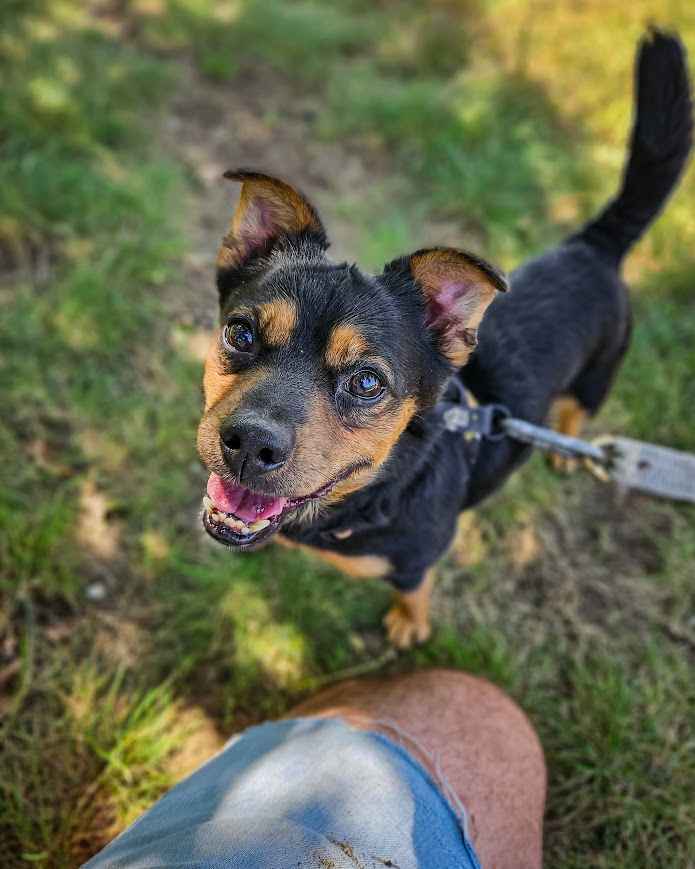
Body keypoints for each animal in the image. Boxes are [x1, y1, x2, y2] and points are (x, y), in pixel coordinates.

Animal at [196, 30, 692, 644]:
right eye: (240, 333)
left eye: (367, 383)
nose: (249, 444)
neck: (373, 495)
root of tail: (594, 246)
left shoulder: (419, 557)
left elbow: (414, 588)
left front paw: (409, 625)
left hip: (600, 372)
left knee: (579, 409)